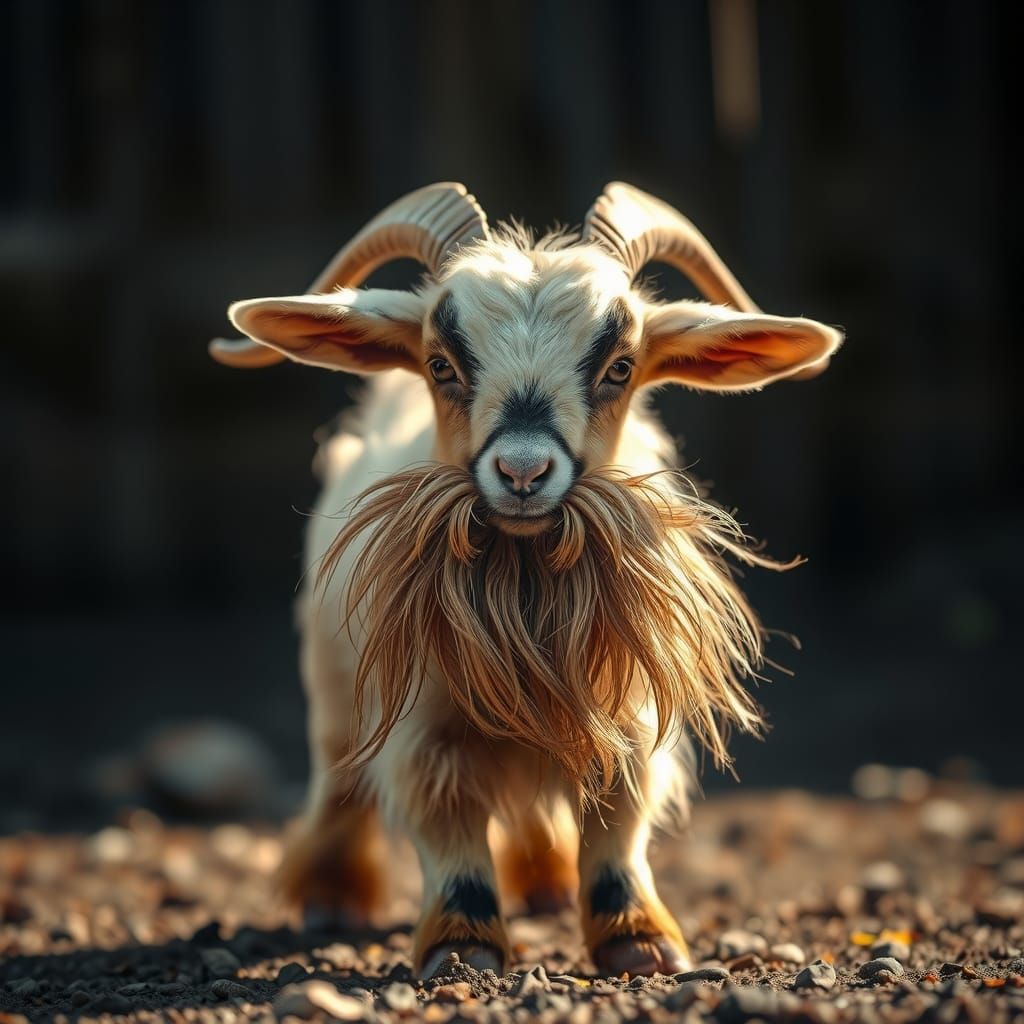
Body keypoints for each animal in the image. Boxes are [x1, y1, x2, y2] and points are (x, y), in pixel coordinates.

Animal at [211, 182, 842, 979]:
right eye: (441, 363)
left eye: (620, 366)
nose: (521, 471)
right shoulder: (424, 725)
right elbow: (445, 824)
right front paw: (461, 946)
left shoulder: (625, 715)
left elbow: (617, 820)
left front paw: (639, 940)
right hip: (332, 682)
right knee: (340, 775)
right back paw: (331, 897)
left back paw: (544, 885)